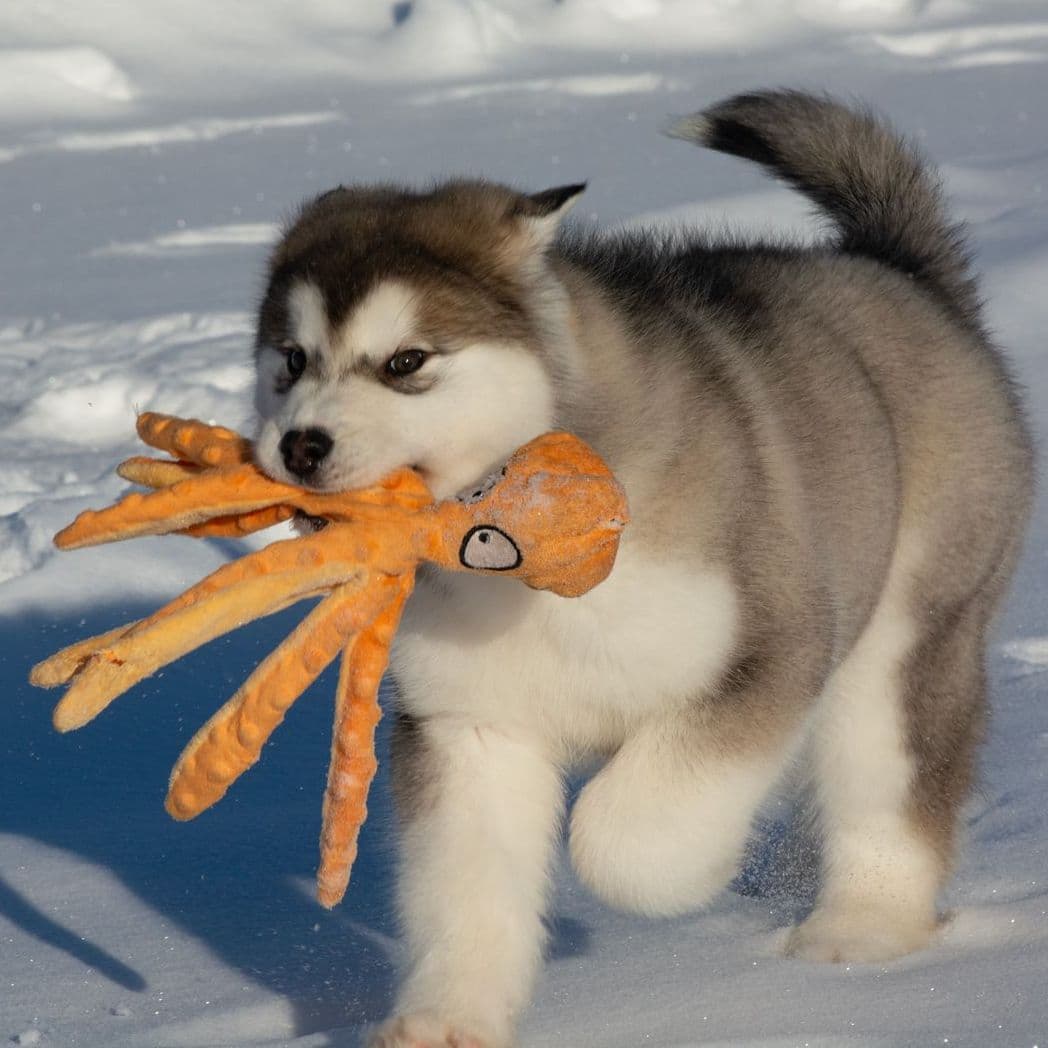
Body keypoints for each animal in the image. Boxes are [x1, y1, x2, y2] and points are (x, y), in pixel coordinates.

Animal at [251, 92, 1031, 1048]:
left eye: (406, 362)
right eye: (291, 359)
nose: (300, 445)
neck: (515, 554)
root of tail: (901, 272)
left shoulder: (769, 646)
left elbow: (622, 839)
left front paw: (682, 877)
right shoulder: (471, 724)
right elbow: (466, 888)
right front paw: (445, 1020)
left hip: (908, 633)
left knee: (888, 783)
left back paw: (860, 935)